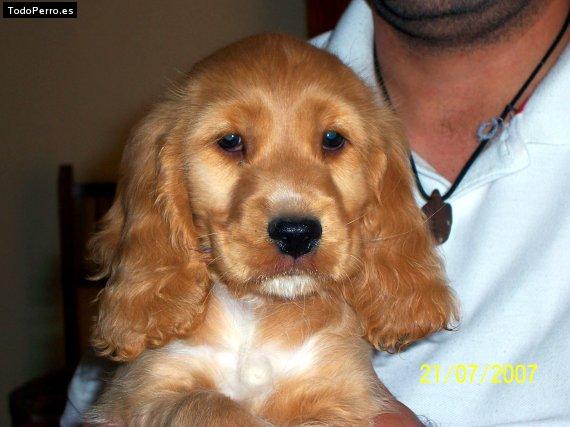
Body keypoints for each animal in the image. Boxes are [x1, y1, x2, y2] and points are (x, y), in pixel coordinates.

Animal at [87, 34, 457, 426]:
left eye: (332, 139)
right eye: (230, 141)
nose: (296, 233)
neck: (259, 311)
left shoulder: (342, 393)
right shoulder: (143, 391)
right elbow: (208, 404)